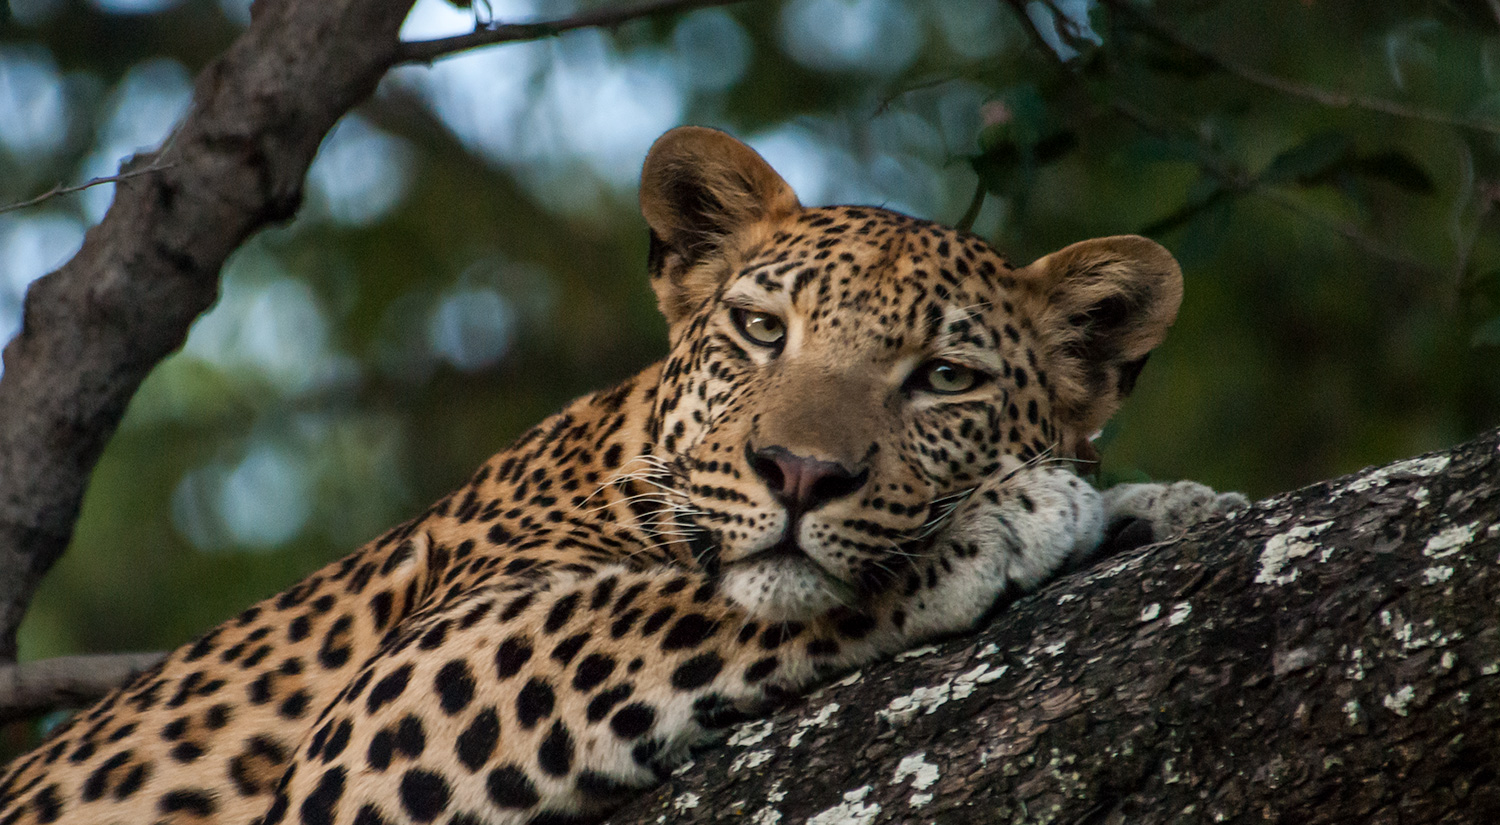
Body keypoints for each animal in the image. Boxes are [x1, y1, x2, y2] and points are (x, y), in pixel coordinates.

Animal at [0, 126, 1245, 825]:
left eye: (944, 377)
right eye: (761, 328)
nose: (799, 473)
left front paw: (1161, 507)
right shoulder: (391, 698)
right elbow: (653, 606)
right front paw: (1004, 516)